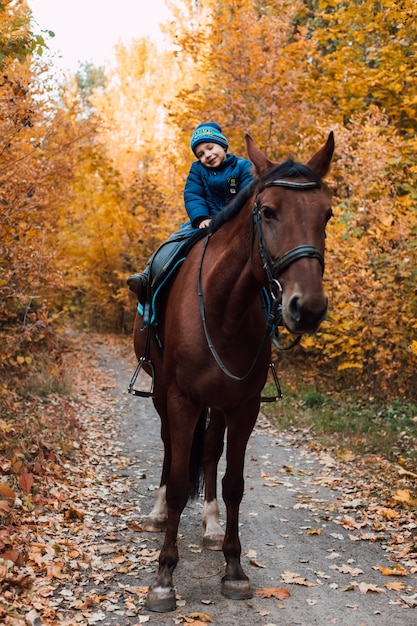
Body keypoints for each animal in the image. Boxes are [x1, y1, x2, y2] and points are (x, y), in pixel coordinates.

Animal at [132, 133, 334, 608]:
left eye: (327, 214)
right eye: (268, 211)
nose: (308, 308)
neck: (224, 308)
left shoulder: (243, 407)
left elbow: (234, 483)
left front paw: (234, 569)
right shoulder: (181, 400)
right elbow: (178, 477)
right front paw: (164, 578)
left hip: (218, 406)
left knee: (208, 453)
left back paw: (209, 525)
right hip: (164, 395)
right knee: (169, 450)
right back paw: (157, 513)